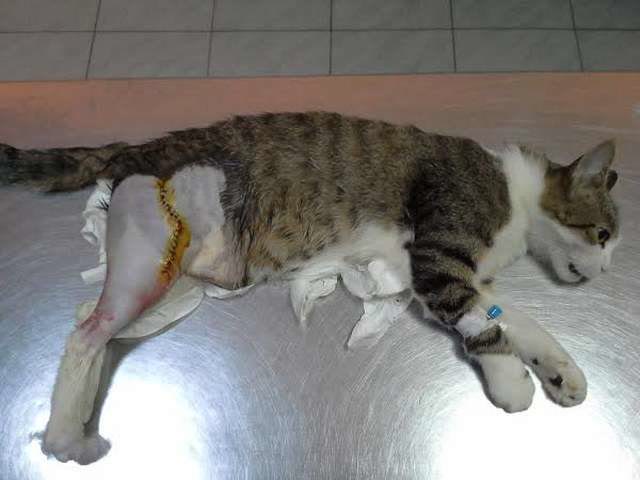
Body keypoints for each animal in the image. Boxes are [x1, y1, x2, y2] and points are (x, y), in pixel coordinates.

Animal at [0, 112, 620, 464]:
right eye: (604, 234)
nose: (607, 270)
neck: (517, 198)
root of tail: (136, 147)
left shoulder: (430, 274)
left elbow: (510, 317)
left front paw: (559, 371)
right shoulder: (437, 259)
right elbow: (480, 324)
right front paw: (512, 380)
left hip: (177, 280)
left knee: (93, 319)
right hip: (153, 252)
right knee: (87, 330)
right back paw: (65, 440)